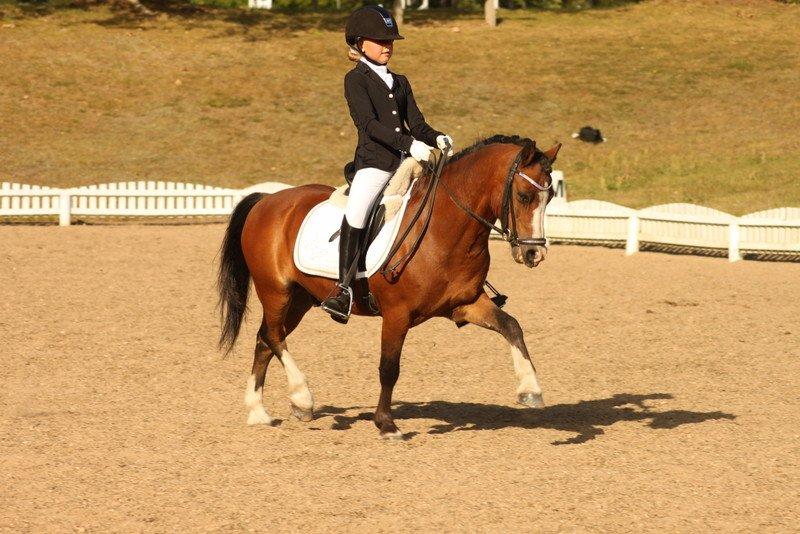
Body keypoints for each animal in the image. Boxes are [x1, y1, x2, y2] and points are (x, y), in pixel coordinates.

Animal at [217, 134, 561, 439]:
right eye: (524, 196)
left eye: (550, 198)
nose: (534, 254)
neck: (444, 227)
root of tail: (268, 200)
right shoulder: (397, 313)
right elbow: (389, 367)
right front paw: (386, 423)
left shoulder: (466, 304)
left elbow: (512, 327)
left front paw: (531, 390)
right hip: (276, 290)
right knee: (274, 336)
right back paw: (302, 398)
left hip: (301, 298)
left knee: (265, 338)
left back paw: (258, 412)